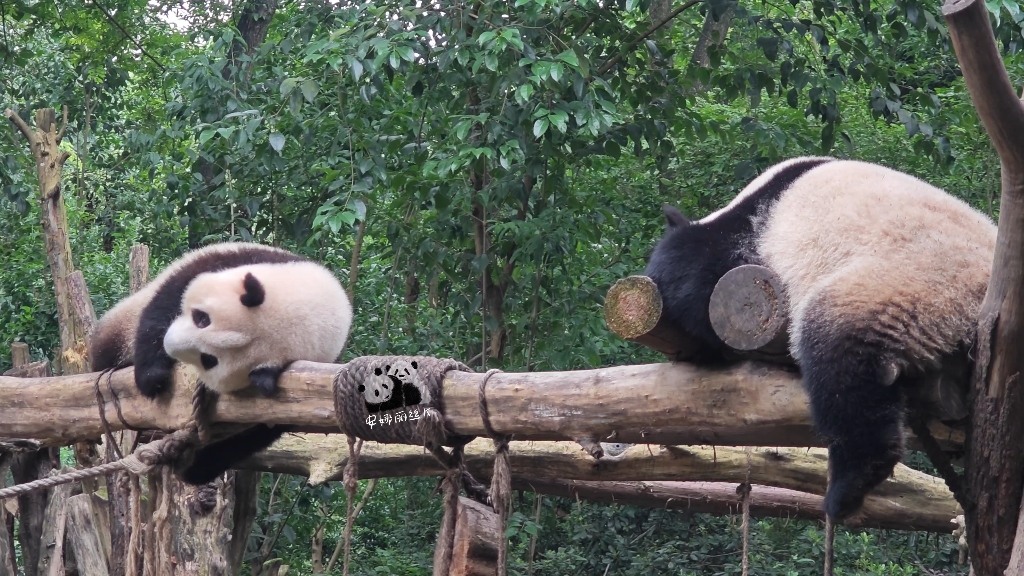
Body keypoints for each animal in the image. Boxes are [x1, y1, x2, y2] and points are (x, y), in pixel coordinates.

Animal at [92, 241, 356, 483]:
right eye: (202, 318)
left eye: (209, 360)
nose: (169, 344)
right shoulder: (229, 259)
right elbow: (167, 301)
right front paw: (152, 378)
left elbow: (259, 431)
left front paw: (196, 469)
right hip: (124, 321)